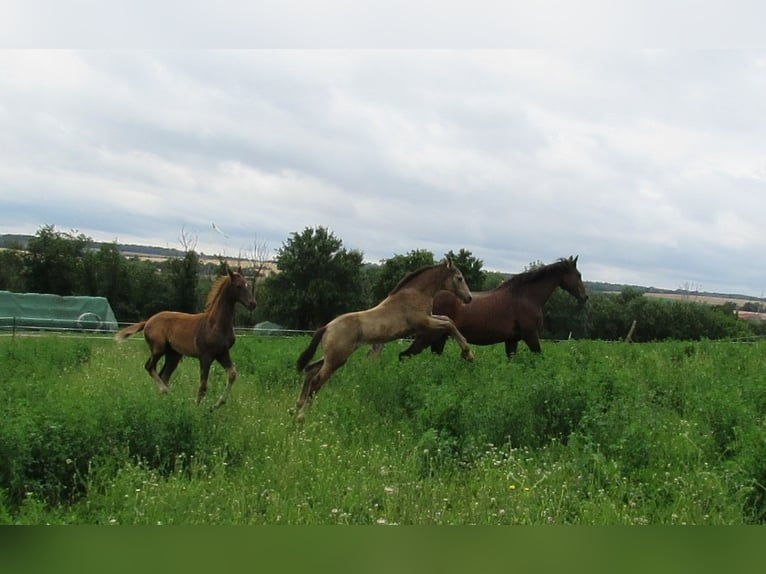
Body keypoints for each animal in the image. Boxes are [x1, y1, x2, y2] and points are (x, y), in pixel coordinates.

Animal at [115, 268, 256, 410]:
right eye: (238, 286)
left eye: (247, 284)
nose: (252, 304)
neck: (215, 324)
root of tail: (148, 321)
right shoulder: (205, 356)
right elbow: (203, 386)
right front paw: (197, 409)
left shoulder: (222, 353)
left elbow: (232, 374)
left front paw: (217, 405)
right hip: (158, 349)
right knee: (150, 367)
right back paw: (167, 393)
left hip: (173, 355)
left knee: (163, 375)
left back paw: (167, 401)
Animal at [296, 260, 476, 418]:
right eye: (459, 278)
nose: (469, 298)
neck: (415, 293)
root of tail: (327, 327)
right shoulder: (423, 323)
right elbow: (449, 325)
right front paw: (468, 354)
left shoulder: (429, 319)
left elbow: (447, 319)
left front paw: (467, 353)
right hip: (336, 359)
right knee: (316, 381)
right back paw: (301, 417)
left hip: (334, 356)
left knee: (310, 369)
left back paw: (296, 407)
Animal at [402, 256, 588, 360]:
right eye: (578, 275)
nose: (585, 297)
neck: (526, 297)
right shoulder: (531, 336)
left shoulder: (512, 341)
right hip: (427, 337)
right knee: (404, 355)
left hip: (439, 339)